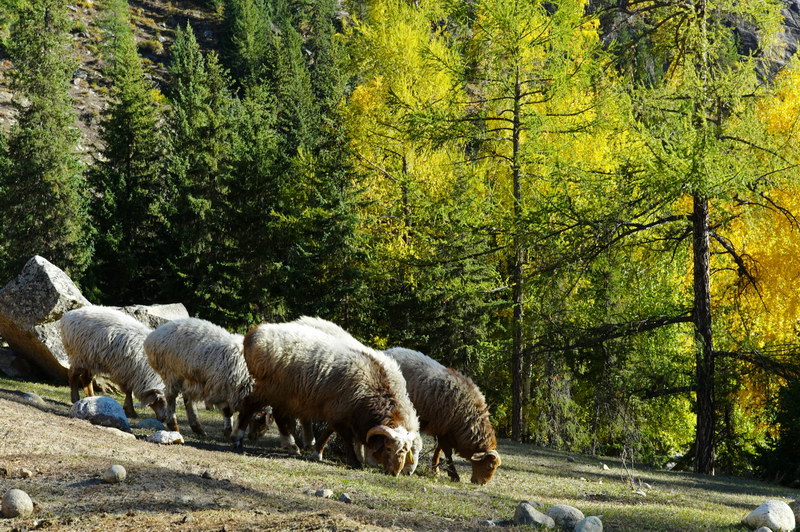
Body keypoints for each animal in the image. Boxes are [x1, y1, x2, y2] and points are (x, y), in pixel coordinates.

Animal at [386, 348, 504, 484]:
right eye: (489, 466)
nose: (482, 483)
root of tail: (389, 350)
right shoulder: (443, 428)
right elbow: (447, 452)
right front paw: (453, 474)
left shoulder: (443, 429)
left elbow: (439, 449)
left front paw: (435, 469)